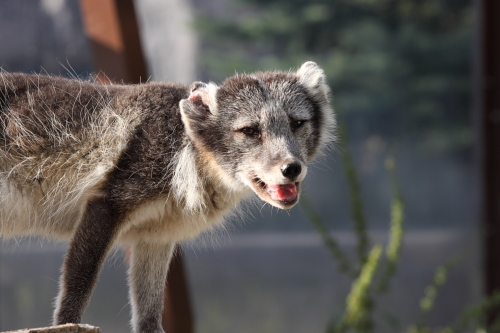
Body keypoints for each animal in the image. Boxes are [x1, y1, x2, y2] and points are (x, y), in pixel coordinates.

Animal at [0, 61, 336, 330]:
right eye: (250, 131)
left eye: (297, 123)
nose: (292, 168)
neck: (182, 148)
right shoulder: (106, 205)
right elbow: (77, 289)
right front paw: (66, 324)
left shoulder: (155, 238)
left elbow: (149, 312)